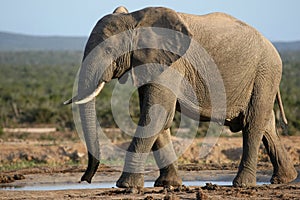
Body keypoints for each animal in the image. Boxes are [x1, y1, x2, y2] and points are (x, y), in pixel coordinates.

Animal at [64, 6, 296, 188]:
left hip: (265, 72)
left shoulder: (171, 63)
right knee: (266, 124)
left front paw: (125, 186)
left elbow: (155, 115)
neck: (135, 19)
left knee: (252, 124)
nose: (85, 180)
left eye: (109, 50)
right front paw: (168, 184)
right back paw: (285, 179)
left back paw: (243, 184)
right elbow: (159, 118)